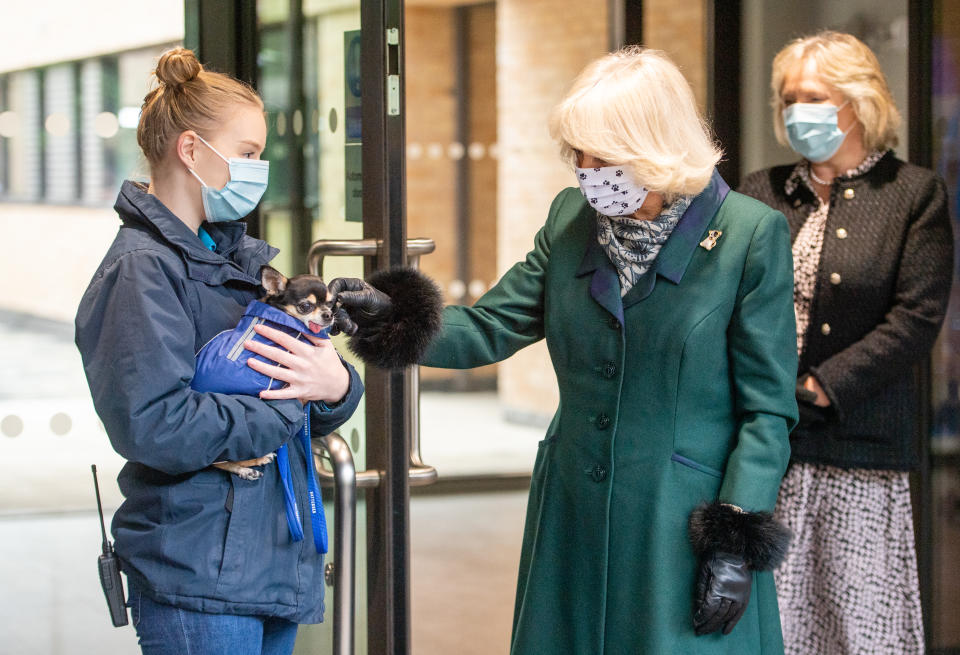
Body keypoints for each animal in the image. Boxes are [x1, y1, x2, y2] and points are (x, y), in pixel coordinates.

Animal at [197, 266, 340, 482]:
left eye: (331, 303)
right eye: (305, 306)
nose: (328, 315)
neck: (280, 313)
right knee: (222, 459)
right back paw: (254, 462)